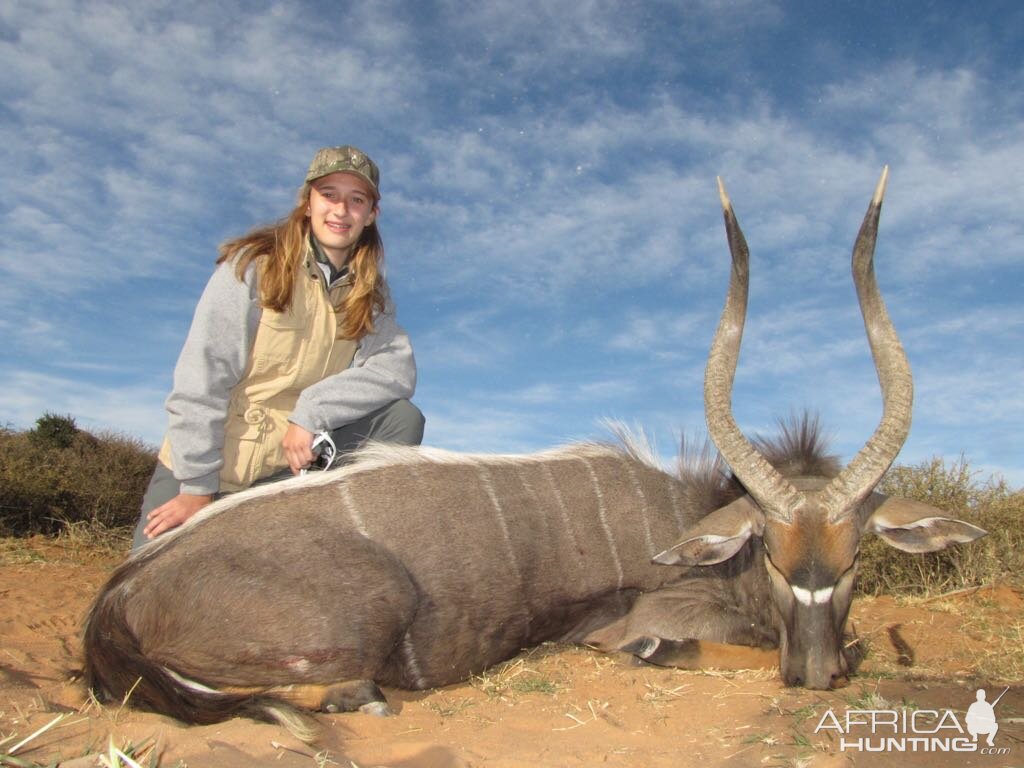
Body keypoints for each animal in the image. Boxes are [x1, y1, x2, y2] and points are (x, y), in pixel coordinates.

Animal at [81, 166, 983, 733]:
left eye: (857, 555)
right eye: (769, 554)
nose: (817, 674)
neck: (692, 520)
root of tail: (122, 595)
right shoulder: (652, 617)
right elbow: (689, 645)